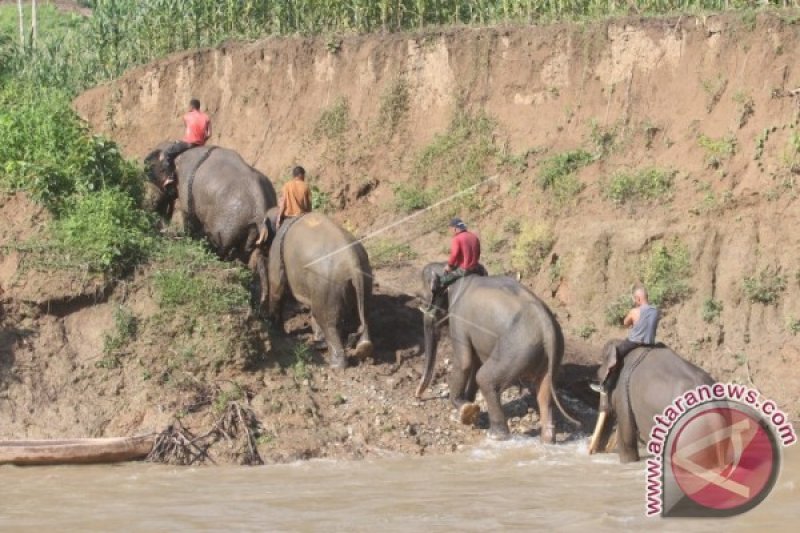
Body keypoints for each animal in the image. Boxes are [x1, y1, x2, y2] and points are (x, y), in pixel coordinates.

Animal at [144, 143, 278, 306]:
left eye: (152, 167)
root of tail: (260, 211)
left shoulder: (187, 196)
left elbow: (190, 221)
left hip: (228, 227)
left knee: (224, 249)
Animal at [266, 208, 372, 370]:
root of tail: (352, 262)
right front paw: (317, 338)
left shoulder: (277, 250)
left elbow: (277, 287)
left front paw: (275, 331)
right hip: (363, 279)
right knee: (364, 312)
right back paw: (363, 349)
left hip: (328, 285)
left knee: (327, 321)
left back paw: (335, 366)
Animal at [416, 260, 580, 440]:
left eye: (422, 300)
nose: (418, 396)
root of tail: (547, 326)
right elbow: (476, 361)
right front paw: (470, 405)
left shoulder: (458, 318)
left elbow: (465, 361)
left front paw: (465, 409)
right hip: (553, 353)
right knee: (544, 394)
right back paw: (547, 440)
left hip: (516, 350)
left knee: (485, 378)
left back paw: (495, 435)